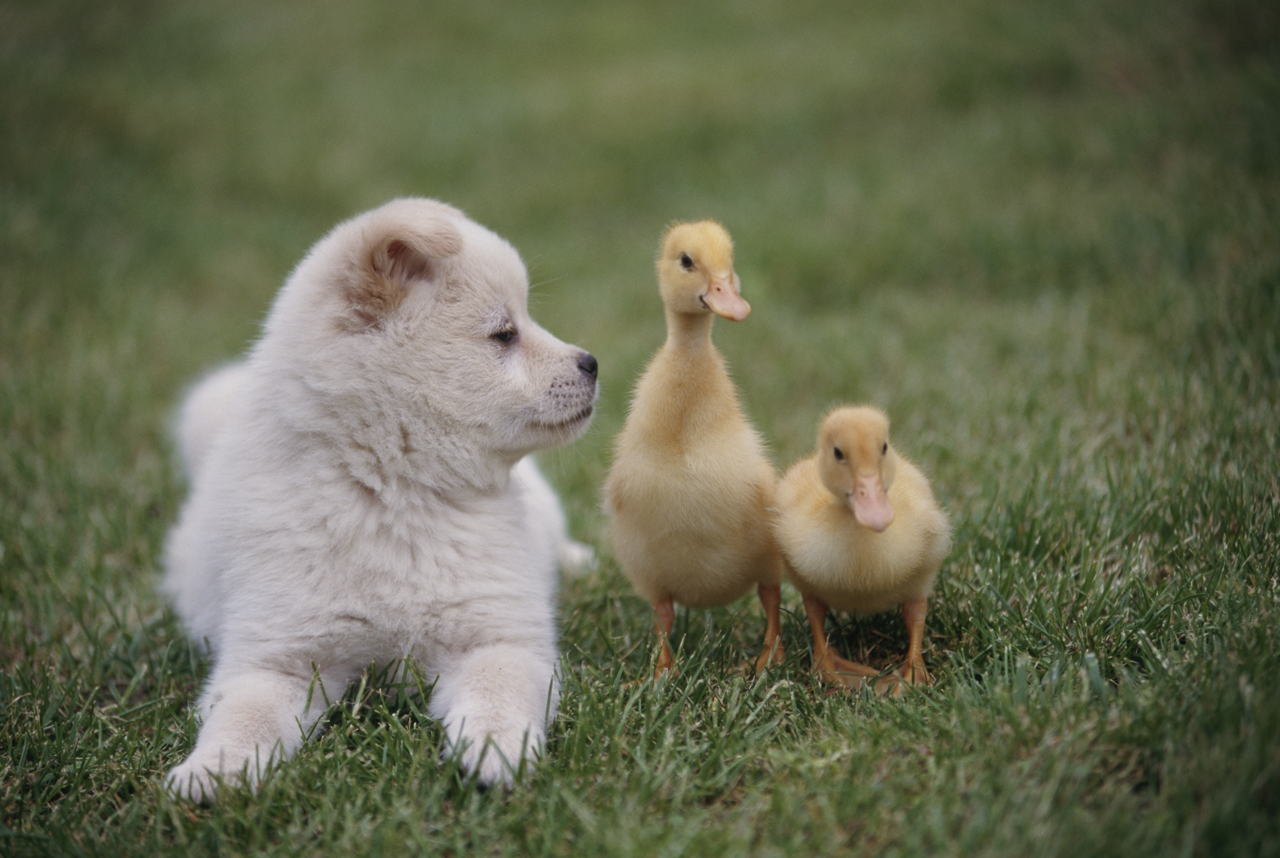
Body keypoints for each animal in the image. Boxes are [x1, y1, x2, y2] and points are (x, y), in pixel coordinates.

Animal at [162, 198, 596, 804]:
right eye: (503, 334)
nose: (592, 363)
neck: (395, 497)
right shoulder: (276, 660)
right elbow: (242, 716)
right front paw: (213, 770)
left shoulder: (496, 638)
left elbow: (498, 693)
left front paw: (494, 750)